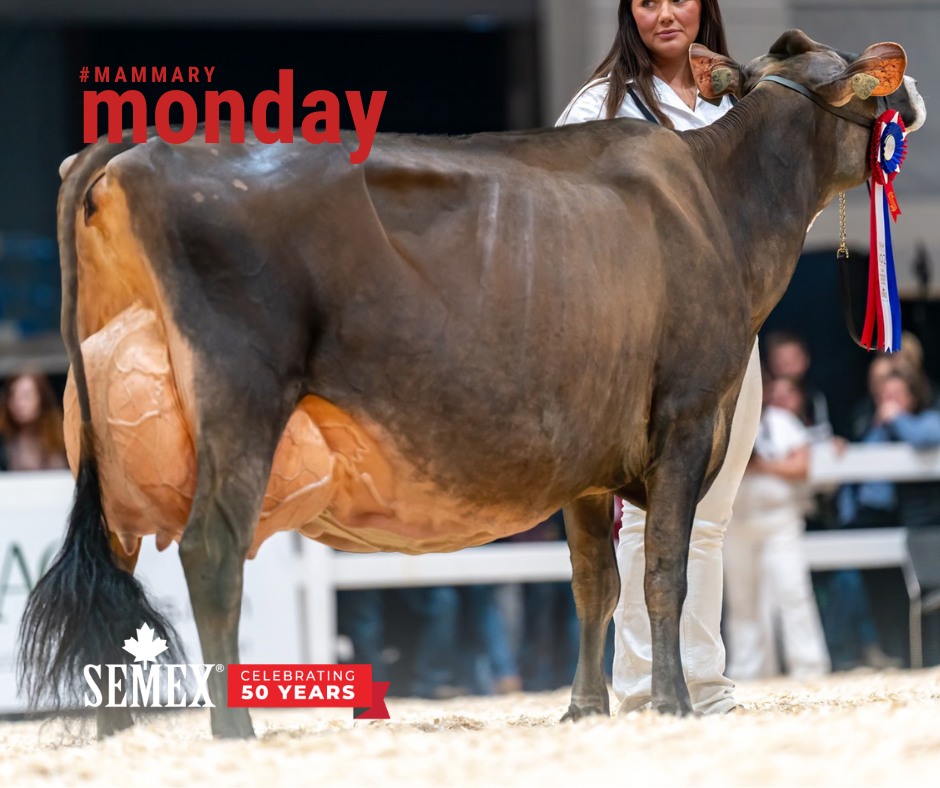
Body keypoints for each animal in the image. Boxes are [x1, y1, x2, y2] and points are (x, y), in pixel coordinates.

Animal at [19, 30, 926, 739]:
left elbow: (594, 583)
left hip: (114, 417)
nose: (912, 95)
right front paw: (669, 705)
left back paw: (119, 730)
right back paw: (233, 730)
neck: (721, 205)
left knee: (113, 559)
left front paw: (585, 709)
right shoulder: (688, 415)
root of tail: (138, 144)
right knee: (211, 549)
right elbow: (663, 569)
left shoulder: (587, 455)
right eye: (873, 83)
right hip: (239, 393)